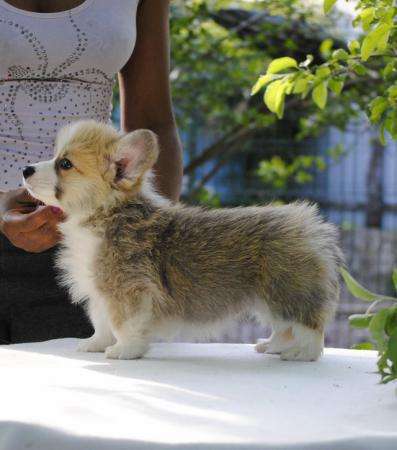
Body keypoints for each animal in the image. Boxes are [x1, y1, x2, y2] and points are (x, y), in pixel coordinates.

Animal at [23, 120, 342, 362]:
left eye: (65, 164)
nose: (25, 169)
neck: (103, 211)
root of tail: (309, 225)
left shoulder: (126, 288)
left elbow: (123, 323)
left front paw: (125, 350)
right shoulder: (99, 289)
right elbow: (101, 321)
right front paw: (95, 344)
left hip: (286, 292)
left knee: (310, 326)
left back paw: (302, 353)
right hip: (270, 298)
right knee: (284, 327)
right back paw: (273, 345)